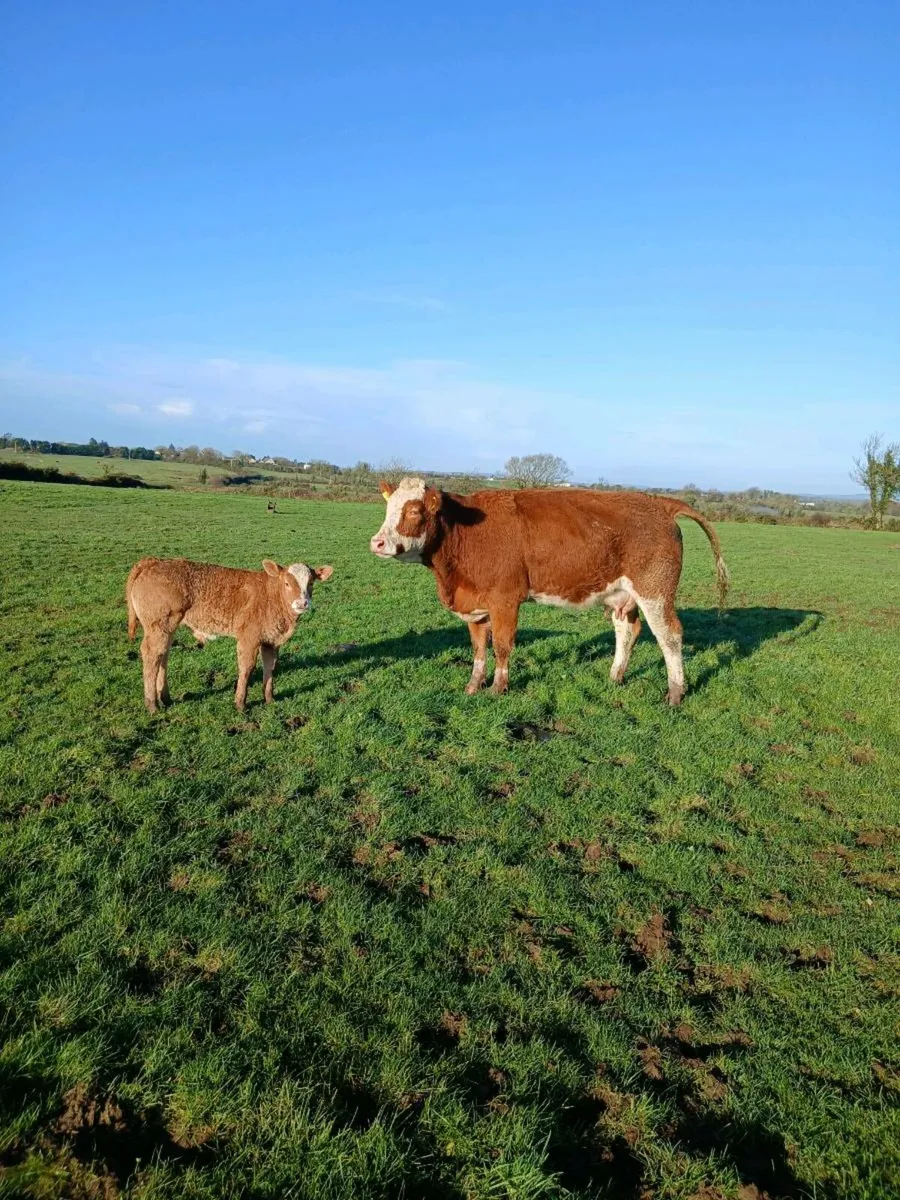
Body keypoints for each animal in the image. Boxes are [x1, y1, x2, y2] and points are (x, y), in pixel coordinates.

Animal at [126, 557, 333, 713]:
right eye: (287, 583)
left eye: (311, 582)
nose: (302, 603)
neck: (271, 597)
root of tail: (152, 562)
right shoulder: (248, 637)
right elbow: (247, 668)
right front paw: (241, 703)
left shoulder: (271, 640)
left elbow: (270, 667)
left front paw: (269, 699)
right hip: (158, 625)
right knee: (151, 654)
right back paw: (152, 705)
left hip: (168, 627)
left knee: (163, 655)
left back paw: (165, 698)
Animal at [370, 478, 728, 703]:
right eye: (388, 510)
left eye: (414, 511)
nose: (377, 542)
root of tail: (658, 503)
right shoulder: (475, 604)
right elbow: (478, 649)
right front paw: (473, 686)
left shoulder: (505, 600)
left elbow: (501, 647)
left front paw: (498, 688)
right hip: (622, 595)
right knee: (627, 630)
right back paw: (615, 677)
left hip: (655, 593)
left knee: (670, 636)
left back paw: (675, 693)